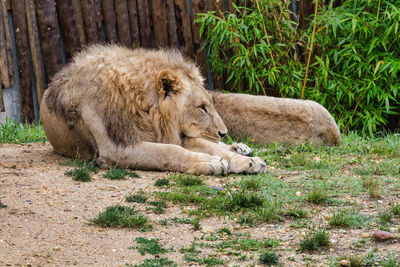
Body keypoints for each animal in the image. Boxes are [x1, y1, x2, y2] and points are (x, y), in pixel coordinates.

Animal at [40, 45, 268, 176]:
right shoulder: (116, 148)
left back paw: (240, 148)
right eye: (201, 108)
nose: (224, 132)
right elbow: (170, 151)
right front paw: (211, 163)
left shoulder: (172, 134)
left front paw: (248, 162)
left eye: (209, 105)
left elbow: (211, 148)